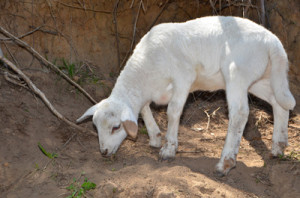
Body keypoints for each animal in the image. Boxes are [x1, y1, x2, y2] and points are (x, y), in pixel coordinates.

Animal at [77, 16, 296, 176]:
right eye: (95, 127)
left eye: (116, 127)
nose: (104, 152)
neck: (145, 71)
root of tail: (273, 43)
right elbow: (143, 108)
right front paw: (155, 137)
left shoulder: (183, 78)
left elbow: (173, 112)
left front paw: (168, 149)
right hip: (262, 78)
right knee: (280, 104)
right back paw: (278, 147)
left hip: (238, 74)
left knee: (240, 114)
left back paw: (225, 163)